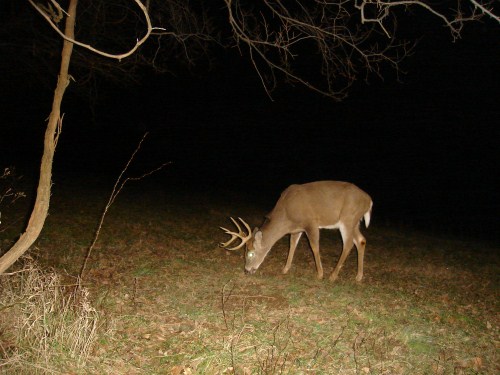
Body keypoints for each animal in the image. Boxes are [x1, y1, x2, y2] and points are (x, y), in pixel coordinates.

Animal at [221, 182, 374, 282]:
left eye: (250, 253)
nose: (247, 270)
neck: (286, 215)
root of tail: (369, 201)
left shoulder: (311, 223)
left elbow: (314, 247)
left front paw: (320, 274)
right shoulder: (296, 229)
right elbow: (292, 245)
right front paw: (285, 269)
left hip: (348, 218)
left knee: (348, 244)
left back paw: (332, 275)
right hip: (355, 222)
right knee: (361, 240)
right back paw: (358, 276)